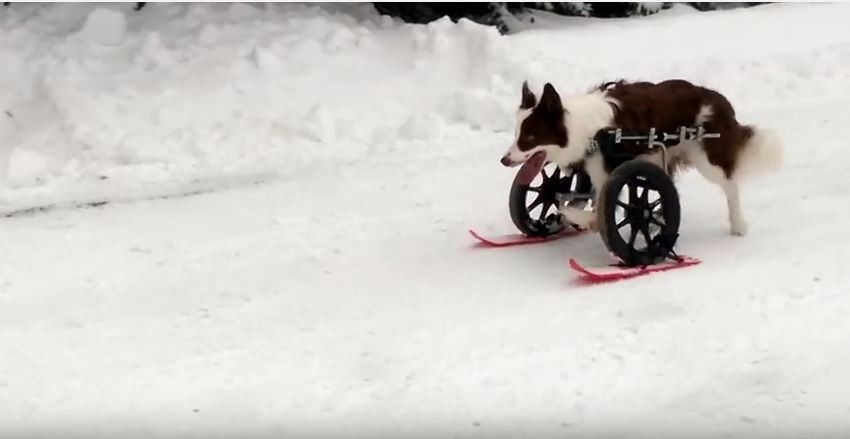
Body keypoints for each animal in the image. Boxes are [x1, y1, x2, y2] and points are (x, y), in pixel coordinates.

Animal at [496, 79, 780, 237]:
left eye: (530, 137)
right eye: (516, 133)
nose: (504, 160)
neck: (585, 130)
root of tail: (718, 99)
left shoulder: (609, 174)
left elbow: (592, 212)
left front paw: (571, 215)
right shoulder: (593, 168)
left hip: (707, 159)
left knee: (730, 184)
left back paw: (738, 224)